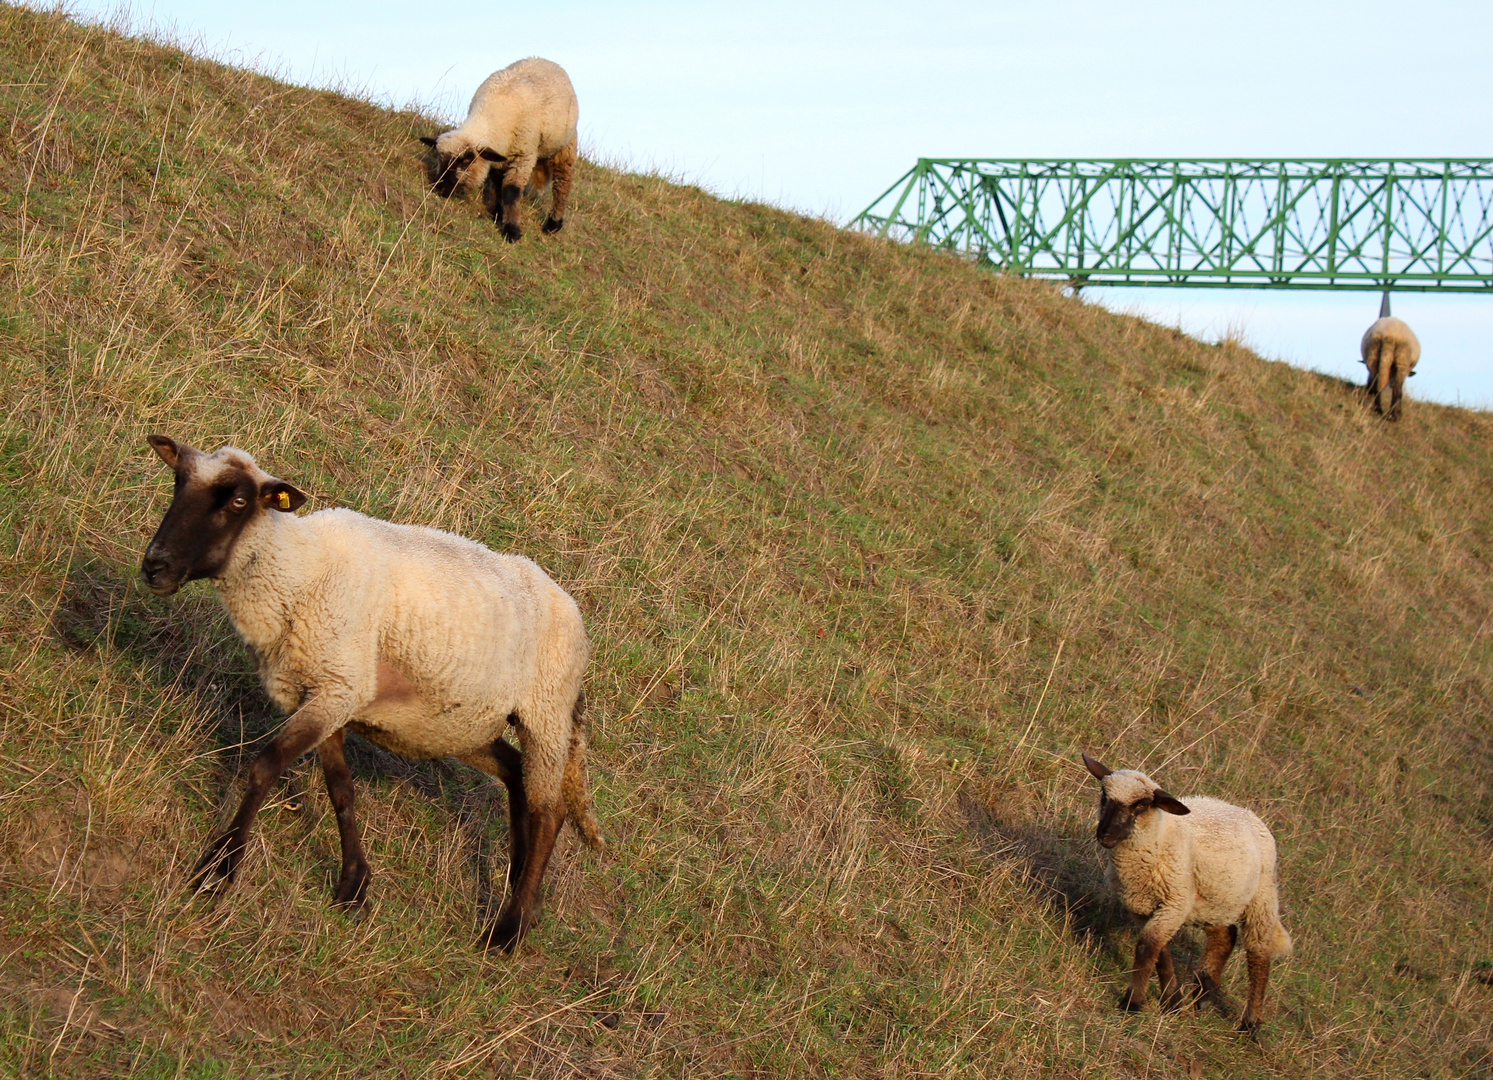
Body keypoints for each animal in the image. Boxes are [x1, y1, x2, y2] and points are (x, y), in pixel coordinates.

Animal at [140, 436, 603, 950]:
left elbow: (265, 767)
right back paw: (523, 892)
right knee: (515, 775)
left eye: (239, 501)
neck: (299, 572)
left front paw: (218, 871)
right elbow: (341, 789)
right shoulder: (326, 692)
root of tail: (575, 614)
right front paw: (353, 885)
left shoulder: (339, 687)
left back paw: (508, 929)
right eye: (178, 480)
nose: (155, 567)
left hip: (546, 712)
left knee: (549, 811)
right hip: (463, 723)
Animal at [424, 60, 585, 246]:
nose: (441, 188)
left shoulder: (523, 155)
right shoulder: (498, 155)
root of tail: (546, 61)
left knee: (562, 183)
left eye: (467, 160)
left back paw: (553, 224)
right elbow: (496, 184)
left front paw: (512, 231)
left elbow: (511, 191)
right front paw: (497, 213)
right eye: (439, 157)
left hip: (565, 145)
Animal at [1080, 752, 1289, 1039]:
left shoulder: (1174, 903)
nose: (1106, 835)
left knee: (1259, 956)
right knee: (1225, 936)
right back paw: (1203, 993)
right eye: (1104, 795)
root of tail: (1249, 814)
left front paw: (1132, 1002)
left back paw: (1250, 1025)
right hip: (1213, 900)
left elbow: (1147, 947)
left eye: (1142, 804)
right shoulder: (1142, 906)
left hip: (1262, 898)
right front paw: (1173, 1002)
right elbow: (1160, 951)